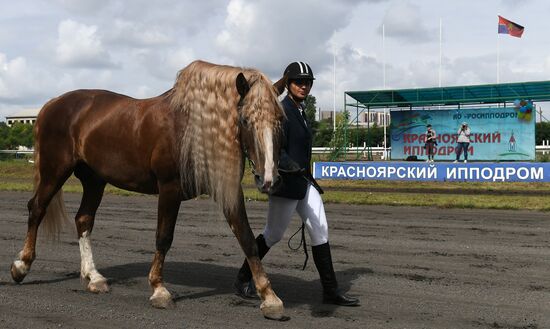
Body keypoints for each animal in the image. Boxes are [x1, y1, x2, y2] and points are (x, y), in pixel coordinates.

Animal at [9, 60, 288, 320]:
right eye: (245, 120)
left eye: (280, 121)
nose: (268, 179)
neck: (191, 129)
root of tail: (51, 104)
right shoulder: (169, 188)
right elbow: (163, 237)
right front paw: (159, 290)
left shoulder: (228, 192)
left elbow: (247, 239)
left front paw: (270, 297)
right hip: (54, 171)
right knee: (37, 209)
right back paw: (21, 266)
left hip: (94, 180)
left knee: (83, 219)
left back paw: (94, 277)